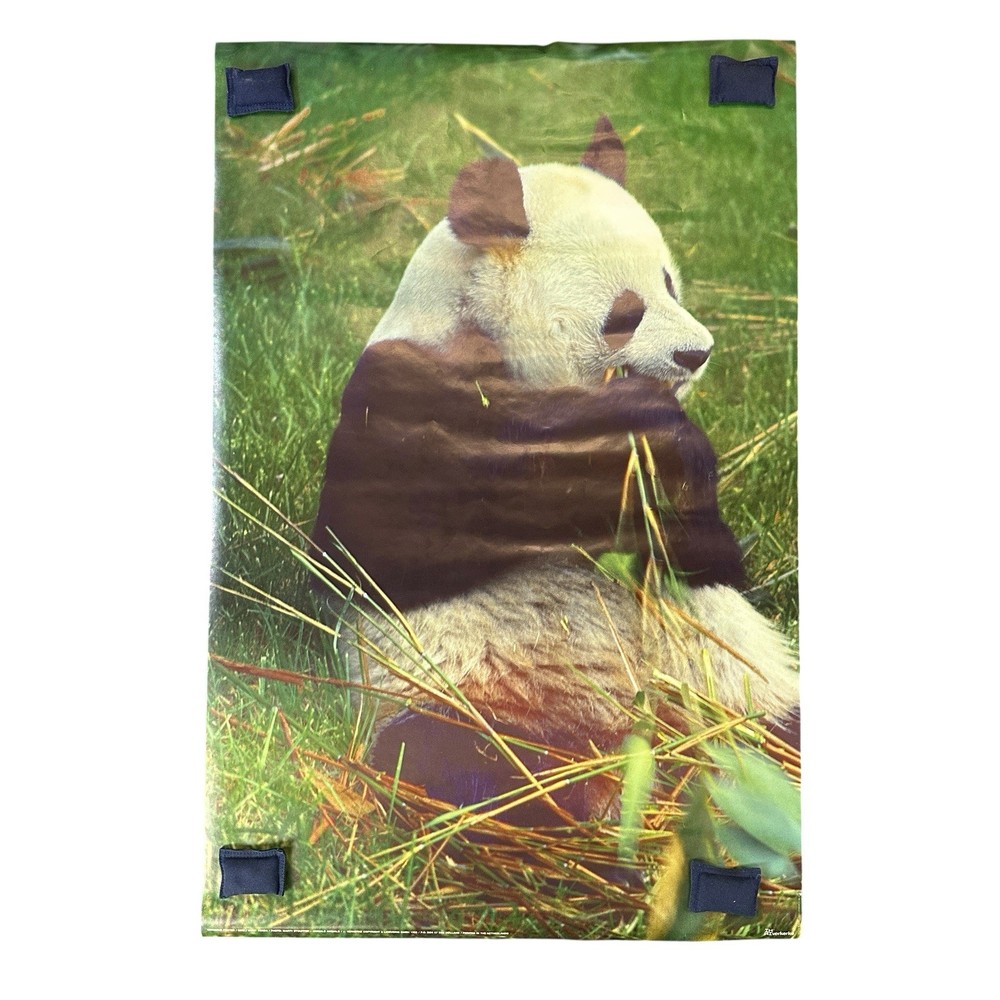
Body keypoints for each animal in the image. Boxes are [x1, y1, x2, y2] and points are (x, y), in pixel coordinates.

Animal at [311, 116, 798, 825]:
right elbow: (372, 547)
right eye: (626, 311)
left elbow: (710, 562)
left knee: (786, 728)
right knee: (464, 765)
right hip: (472, 691)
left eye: (670, 283)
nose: (697, 353)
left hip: (740, 684)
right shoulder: (402, 387)